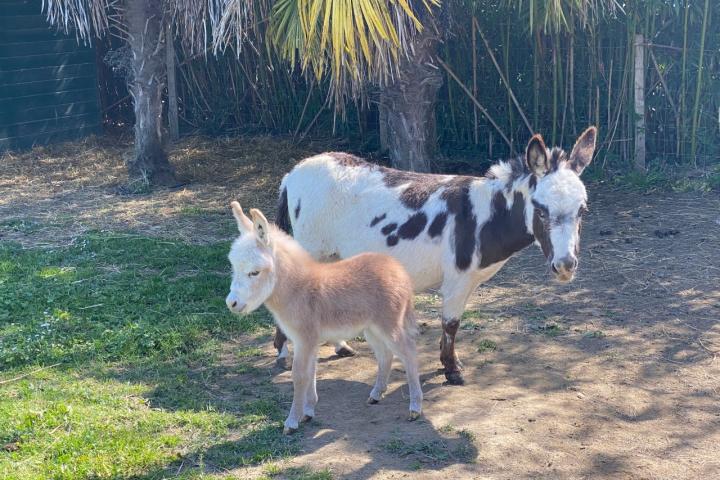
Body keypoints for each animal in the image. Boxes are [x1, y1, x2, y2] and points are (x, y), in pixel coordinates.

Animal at [225, 201, 422, 434]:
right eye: (234, 267)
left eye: (254, 272)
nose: (231, 303)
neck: (297, 290)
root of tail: (397, 268)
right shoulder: (308, 341)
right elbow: (311, 373)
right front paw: (308, 411)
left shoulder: (305, 339)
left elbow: (299, 376)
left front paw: (291, 422)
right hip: (371, 328)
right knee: (385, 355)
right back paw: (376, 395)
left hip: (389, 324)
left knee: (409, 353)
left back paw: (415, 407)